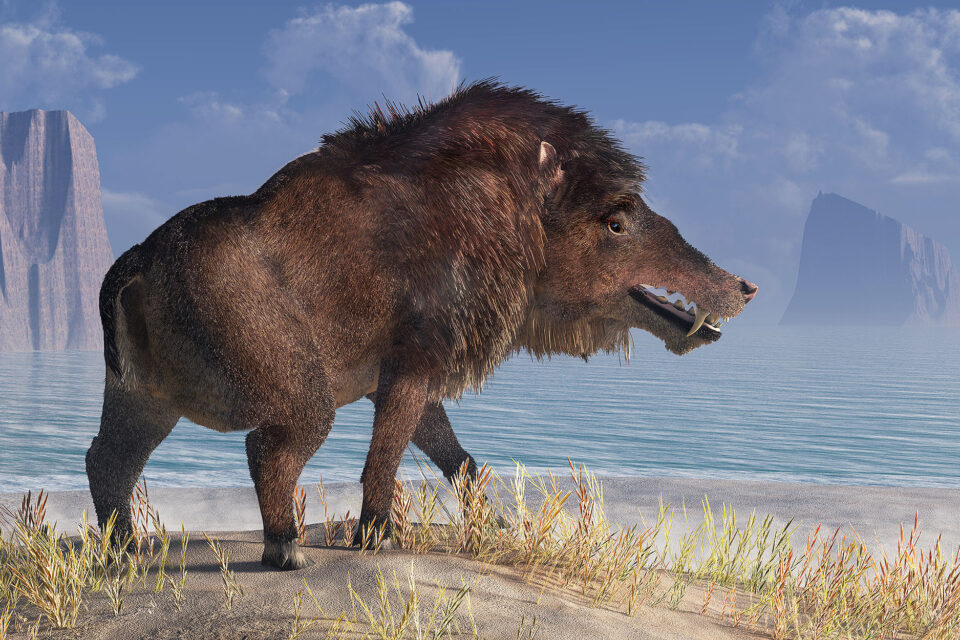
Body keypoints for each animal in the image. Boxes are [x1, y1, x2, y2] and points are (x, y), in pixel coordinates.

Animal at [86, 80, 757, 570]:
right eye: (616, 221)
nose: (744, 287)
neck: (509, 212)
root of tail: (134, 262)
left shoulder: (410, 375)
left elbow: (455, 456)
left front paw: (497, 526)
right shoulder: (415, 362)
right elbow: (386, 453)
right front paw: (372, 537)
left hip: (142, 399)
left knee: (107, 459)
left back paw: (126, 551)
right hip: (296, 396)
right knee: (266, 449)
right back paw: (287, 550)